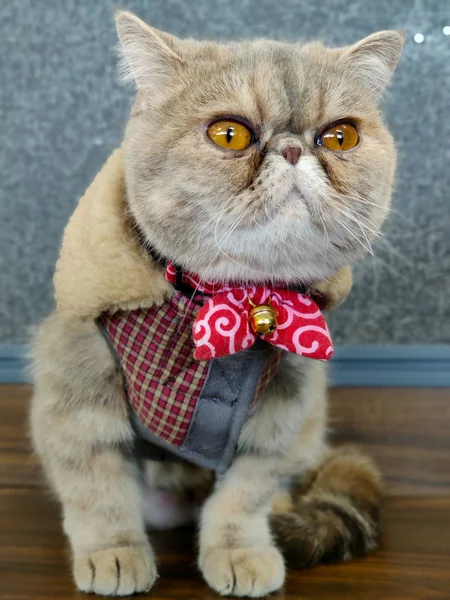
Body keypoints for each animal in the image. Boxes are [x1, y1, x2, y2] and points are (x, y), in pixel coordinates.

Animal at [31, 11, 404, 596]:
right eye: (230, 134)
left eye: (340, 136)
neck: (240, 302)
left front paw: (240, 552)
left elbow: (243, 494)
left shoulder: (282, 405)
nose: (293, 149)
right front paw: (115, 553)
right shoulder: (73, 390)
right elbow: (98, 490)